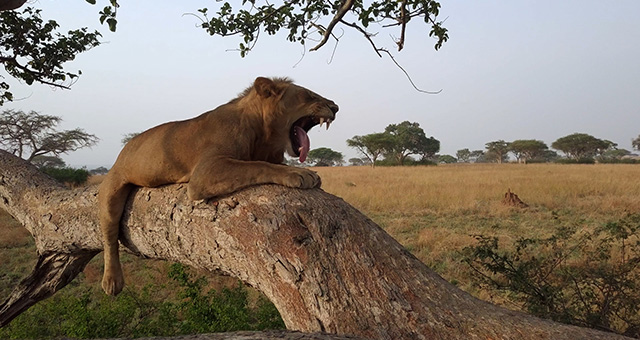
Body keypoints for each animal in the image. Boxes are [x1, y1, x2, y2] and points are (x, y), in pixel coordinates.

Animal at [97, 76, 338, 294]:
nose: (335, 107)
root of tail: (123, 151)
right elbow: (258, 166)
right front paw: (299, 173)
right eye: (309, 95)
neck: (262, 134)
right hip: (112, 189)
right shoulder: (205, 172)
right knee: (109, 235)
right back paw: (112, 281)